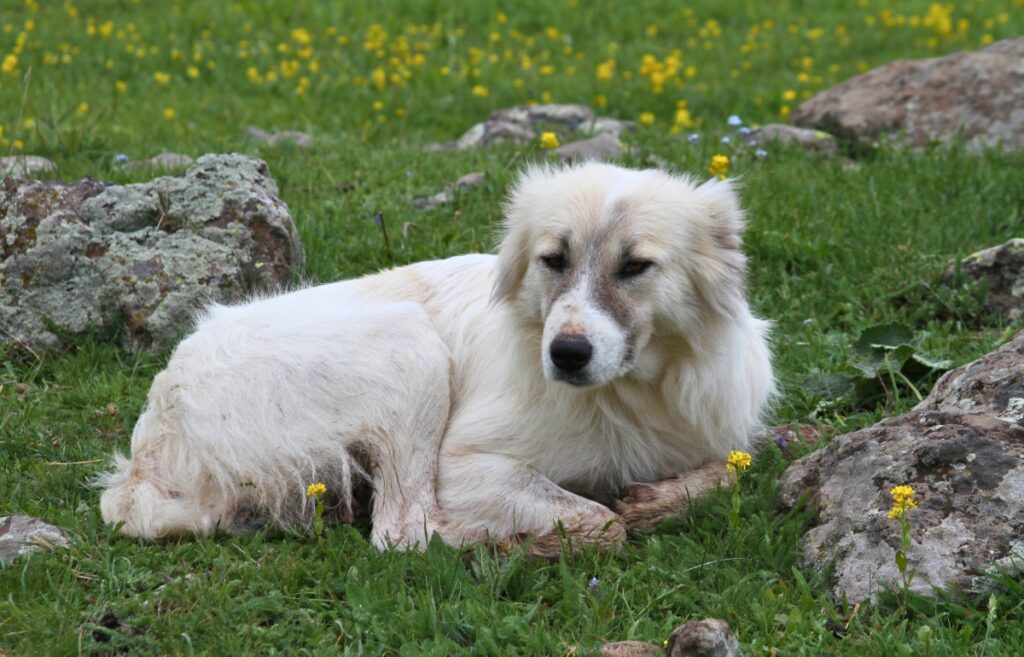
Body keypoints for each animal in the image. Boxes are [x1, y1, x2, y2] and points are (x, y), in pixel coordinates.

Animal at [99, 161, 770, 548]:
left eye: (635, 267)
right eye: (554, 259)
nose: (567, 354)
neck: (634, 394)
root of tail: (154, 436)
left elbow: (735, 468)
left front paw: (659, 499)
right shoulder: (467, 466)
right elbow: (597, 521)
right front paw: (595, 521)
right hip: (409, 347)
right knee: (403, 532)